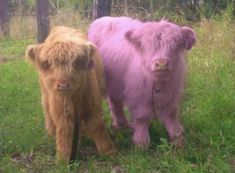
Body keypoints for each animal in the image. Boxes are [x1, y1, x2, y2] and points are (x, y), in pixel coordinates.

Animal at [25, 26, 115, 162]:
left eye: (76, 62)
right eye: (49, 63)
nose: (63, 85)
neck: (74, 97)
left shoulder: (92, 104)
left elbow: (97, 124)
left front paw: (107, 150)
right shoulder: (61, 108)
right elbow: (64, 129)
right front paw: (64, 158)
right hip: (45, 94)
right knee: (47, 110)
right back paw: (51, 131)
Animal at [88, 16, 196, 147]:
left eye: (175, 45)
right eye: (148, 45)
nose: (161, 64)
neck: (159, 83)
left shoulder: (172, 95)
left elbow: (171, 115)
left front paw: (177, 138)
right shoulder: (139, 97)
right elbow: (142, 118)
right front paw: (141, 142)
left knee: (116, 103)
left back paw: (122, 125)